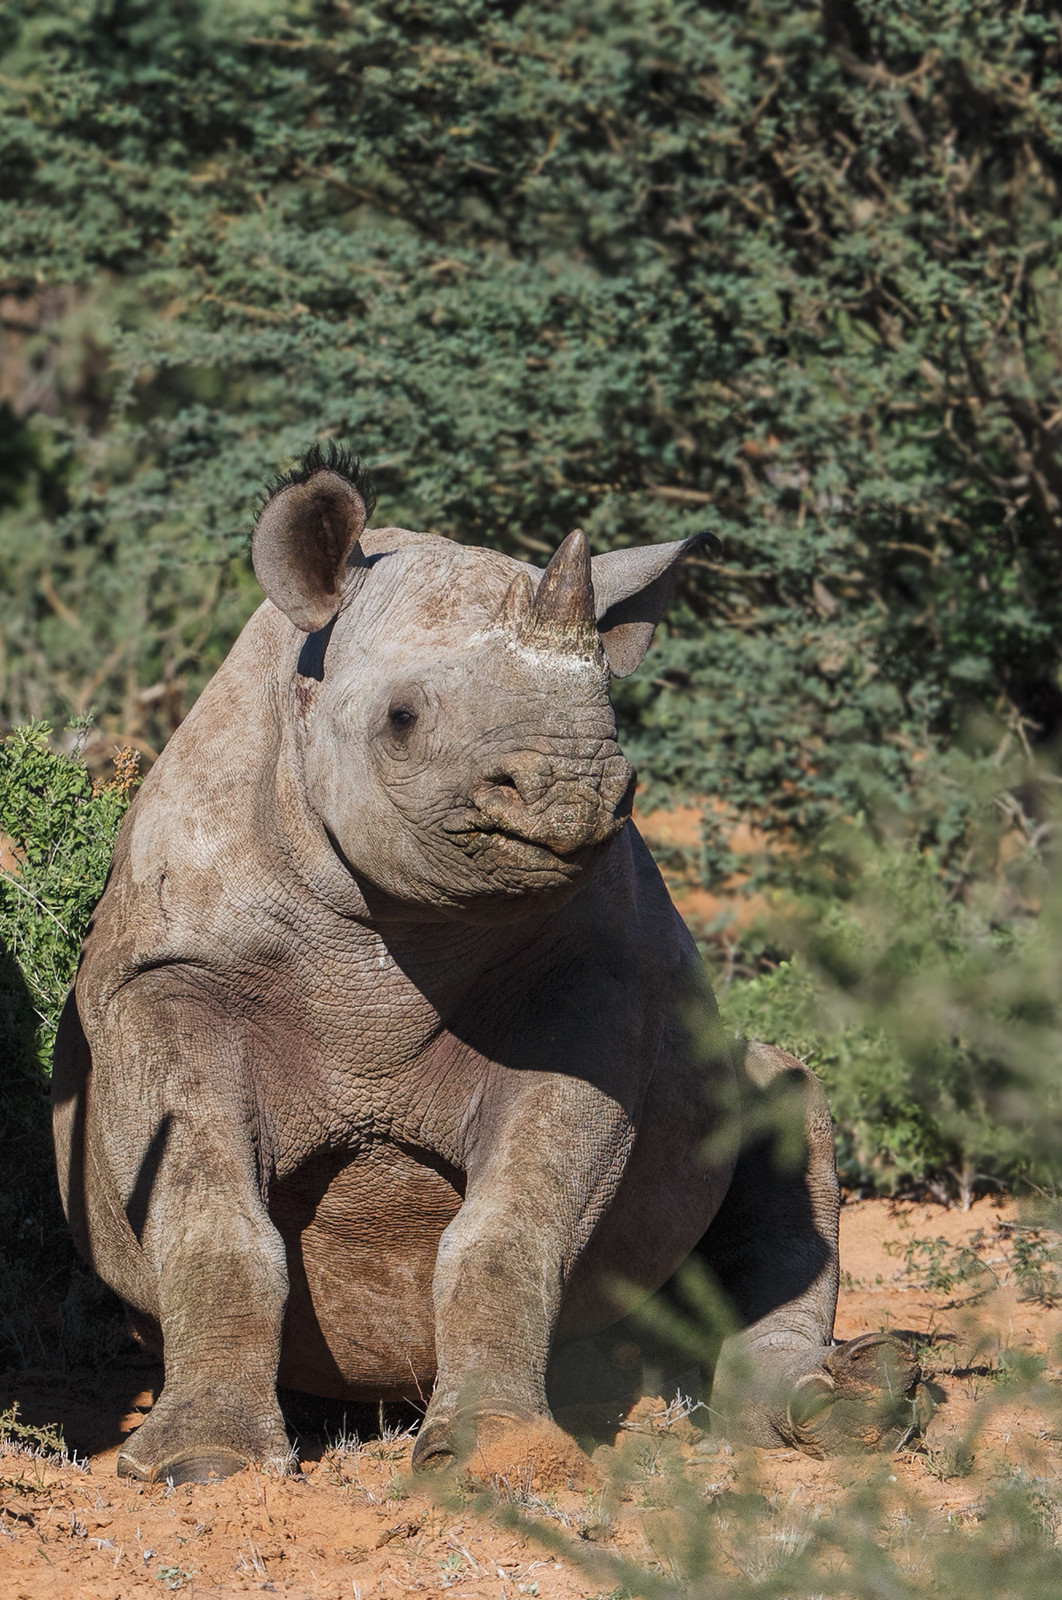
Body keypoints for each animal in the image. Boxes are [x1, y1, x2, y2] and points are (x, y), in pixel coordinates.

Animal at [52, 447, 916, 1484]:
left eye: (616, 725)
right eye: (401, 718)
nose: (581, 786)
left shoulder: (594, 989)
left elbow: (512, 1227)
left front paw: (499, 1455)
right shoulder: (168, 980)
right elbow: (209, 1217)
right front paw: (202, 1466)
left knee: (787, 1100)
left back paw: (843, 1410)